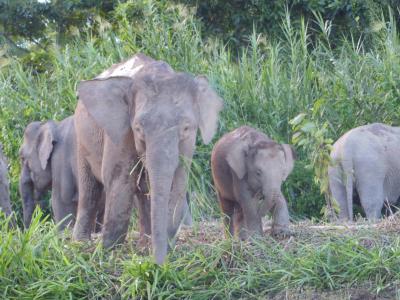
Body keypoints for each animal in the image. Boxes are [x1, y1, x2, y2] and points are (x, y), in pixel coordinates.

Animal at [71, 52, 222, 264]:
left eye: (186, 128)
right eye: (138, 129)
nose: (159, 265)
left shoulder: (188, 143)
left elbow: (178, 181)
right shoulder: (121, 131)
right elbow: (119, 178)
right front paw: (107, 253)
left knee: (143, 190)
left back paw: (143, 245)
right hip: (81, 137)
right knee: (90, 188)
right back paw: (80, 244)